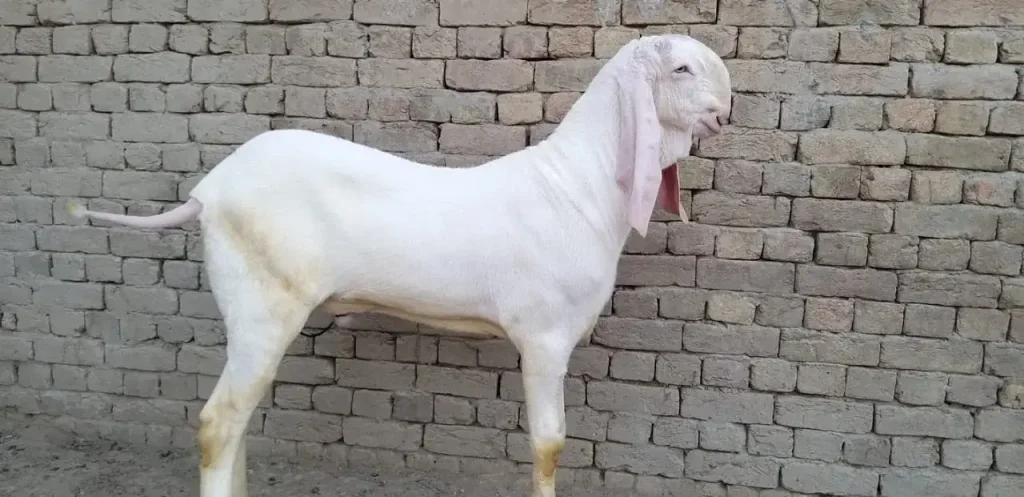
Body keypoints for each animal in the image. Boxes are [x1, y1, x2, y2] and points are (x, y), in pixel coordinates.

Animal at [71, 34, 731, 497]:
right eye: (681, 69)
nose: (726, 112)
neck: (575, 185)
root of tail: (209, 191)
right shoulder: (544, 338)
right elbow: (549, 446)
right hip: (262, 305)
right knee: (218, 424)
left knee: (236, 424)